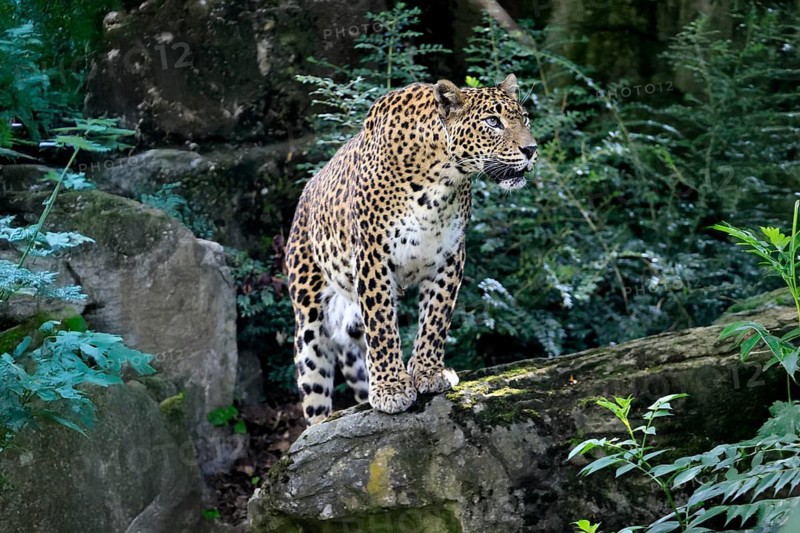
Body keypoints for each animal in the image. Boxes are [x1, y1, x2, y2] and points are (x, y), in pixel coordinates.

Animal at [286, 73, 538, 424]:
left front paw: (428, 373)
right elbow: (382, 326)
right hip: (309, 321)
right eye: (492, 122)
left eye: (524, 118)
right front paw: (391, 388)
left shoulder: (449, 256)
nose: (531, 149)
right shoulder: (373, 257)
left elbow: (436, 318)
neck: (440, 182)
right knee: (314, 392)